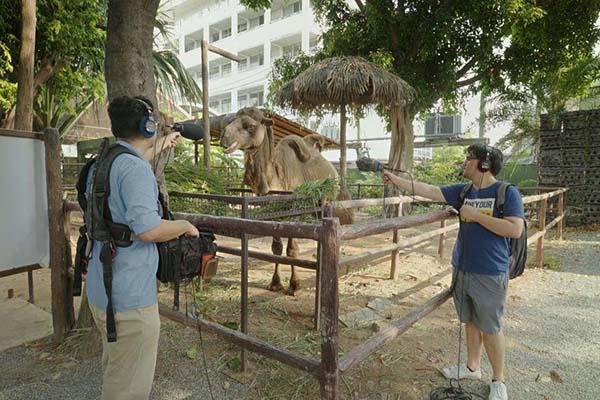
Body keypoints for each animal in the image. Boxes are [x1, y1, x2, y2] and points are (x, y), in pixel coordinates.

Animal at [220, 106, 352, 294]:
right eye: (231, 120)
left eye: (250, 126)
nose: (224, 135)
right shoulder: (273, 215)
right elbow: (276, 249)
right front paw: (275, 283)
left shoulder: (293, 213)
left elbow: (292, 250)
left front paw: (294, 284)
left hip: (329, 201)